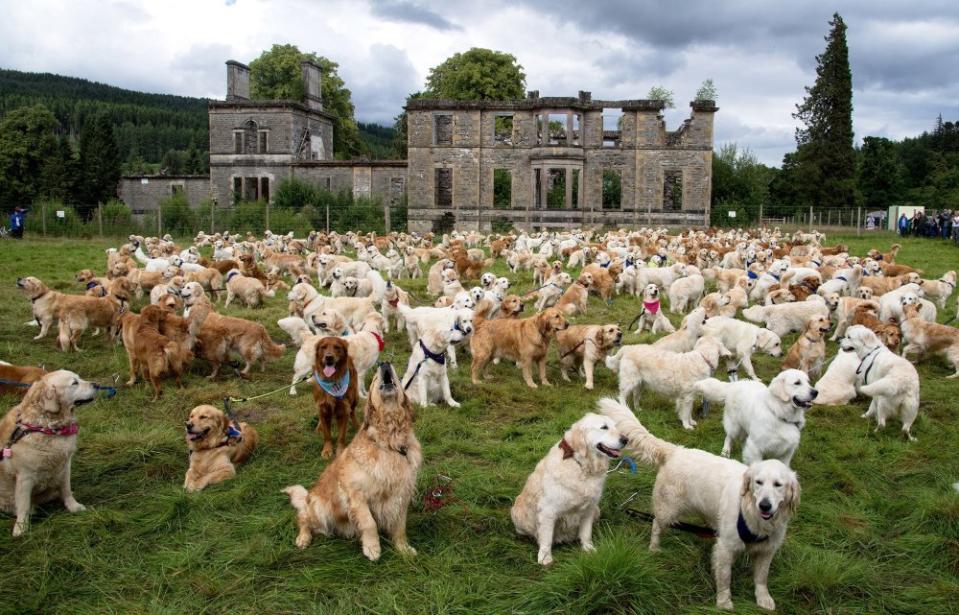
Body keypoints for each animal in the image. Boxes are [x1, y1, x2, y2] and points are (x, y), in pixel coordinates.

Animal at [510, 412, 632, 564]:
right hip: (518, 513)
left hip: (597, 510)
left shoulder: (590, 507)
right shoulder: (548, 510)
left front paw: (588, 549)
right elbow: (546, 537)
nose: (626, 440)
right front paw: (545, 557)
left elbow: (586, 533)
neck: (581, 466)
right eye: (604, 427)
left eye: (616, 426)